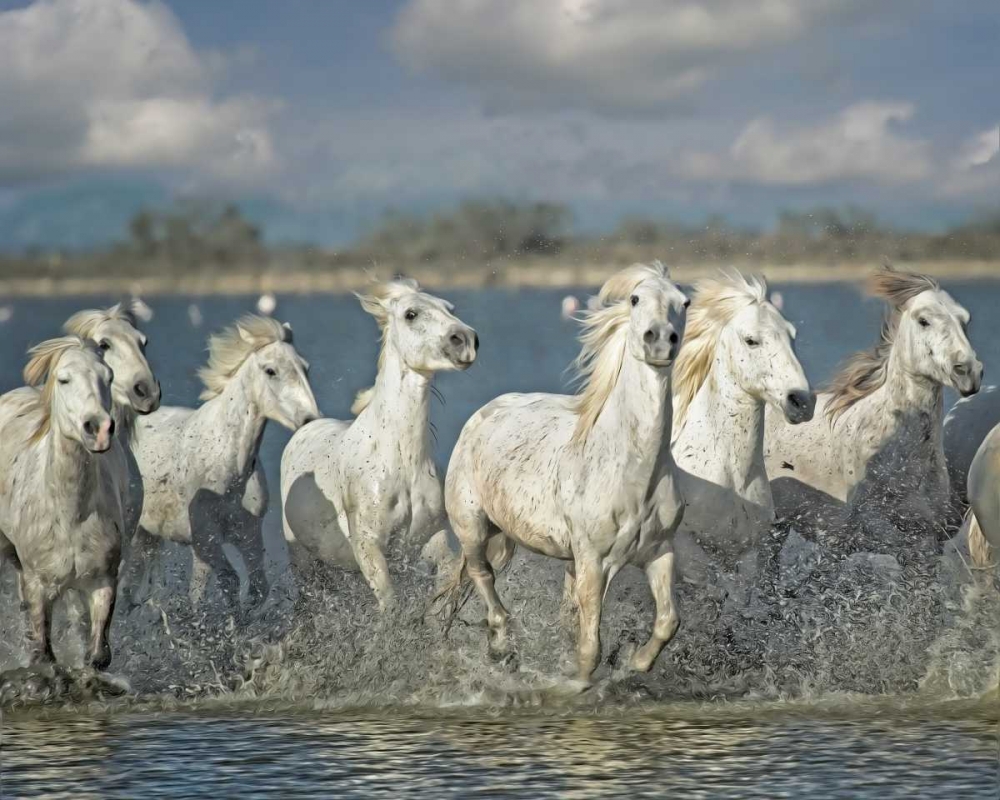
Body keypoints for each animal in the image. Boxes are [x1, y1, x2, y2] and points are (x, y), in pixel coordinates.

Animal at [0, 337, 123, 669]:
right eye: (64, 379)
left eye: (108, 377)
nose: (98, 428)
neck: (70, 514)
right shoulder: (38, 583)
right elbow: (44, 656)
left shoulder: (103, 581)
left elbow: (98, 655)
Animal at [119, 315, 319, 614]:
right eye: (270, 370)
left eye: (305, 367)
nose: (309, 420)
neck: (226, 467)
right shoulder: (205, 539)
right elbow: (228, 581)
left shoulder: (248, 534)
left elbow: (257, 588)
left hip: (147, 536)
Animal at [280, 279, 478, 611]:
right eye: (411, 314)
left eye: (449, 308)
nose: (466, 341)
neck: (400, 460)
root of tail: (306, 426)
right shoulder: (369, 547)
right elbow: (390, 605)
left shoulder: (430, 539)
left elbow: (442, 584)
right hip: (303, 561)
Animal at [435, 262, 688, 684]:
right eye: (636, 299)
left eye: (684, 302)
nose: (660, 342)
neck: (632, 473)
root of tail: (482, 414)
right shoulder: (593, 561)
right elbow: (589, 650)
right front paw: (568, 684)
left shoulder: (659, 551)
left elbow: (668, 621)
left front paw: (634, 662)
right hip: (472, 525)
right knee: (481, 574)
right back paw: (502, 643)